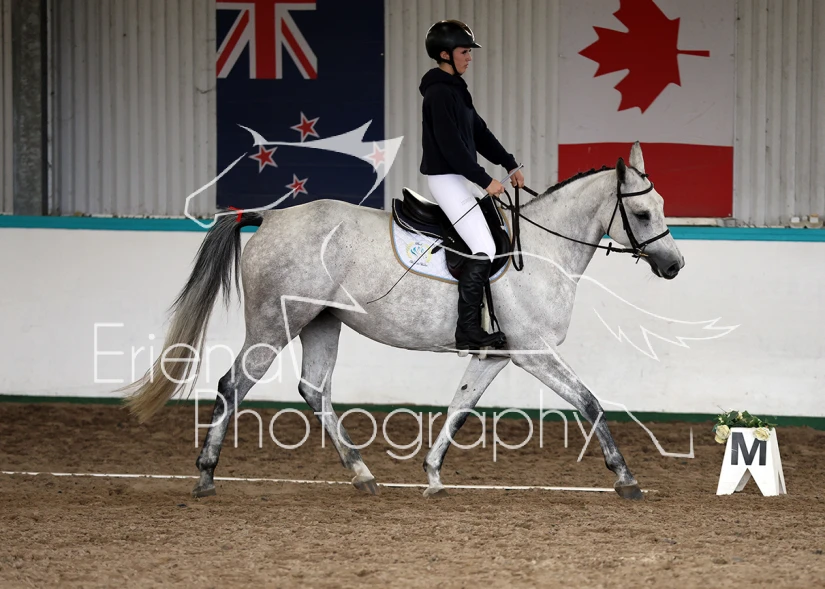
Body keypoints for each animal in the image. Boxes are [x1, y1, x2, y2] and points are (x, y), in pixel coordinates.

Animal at [122, 142, 684, 500]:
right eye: (641, 215)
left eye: (661, 205)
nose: (674, 265)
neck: (543, 250)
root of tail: (273, 216)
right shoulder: (534, 352)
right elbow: (590, 403)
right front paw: (624, 477)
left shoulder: (496, 354)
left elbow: (460, 407)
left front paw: (432, 474)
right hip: (273, 325)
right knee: (232, 384)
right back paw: (206, 475)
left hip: (322, 323)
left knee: (314, 390)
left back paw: (362, 474)